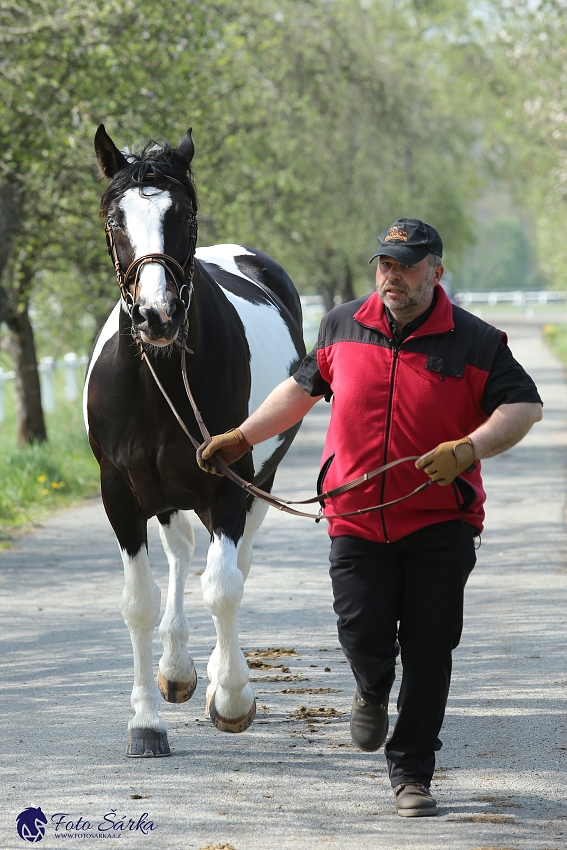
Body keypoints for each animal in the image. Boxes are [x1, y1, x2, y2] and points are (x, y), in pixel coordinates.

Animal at [84, 124, 306, 756]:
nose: (156, 316)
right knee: (182, 552)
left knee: (231, 564)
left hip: (258, 483)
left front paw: (231, 699)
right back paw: (177, 669)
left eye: (181, 214)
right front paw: (146, 723)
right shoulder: (120, 493)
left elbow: (223, 587)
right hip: (161, 494)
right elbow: (139, 603)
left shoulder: (228, 482)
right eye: (115, 218)